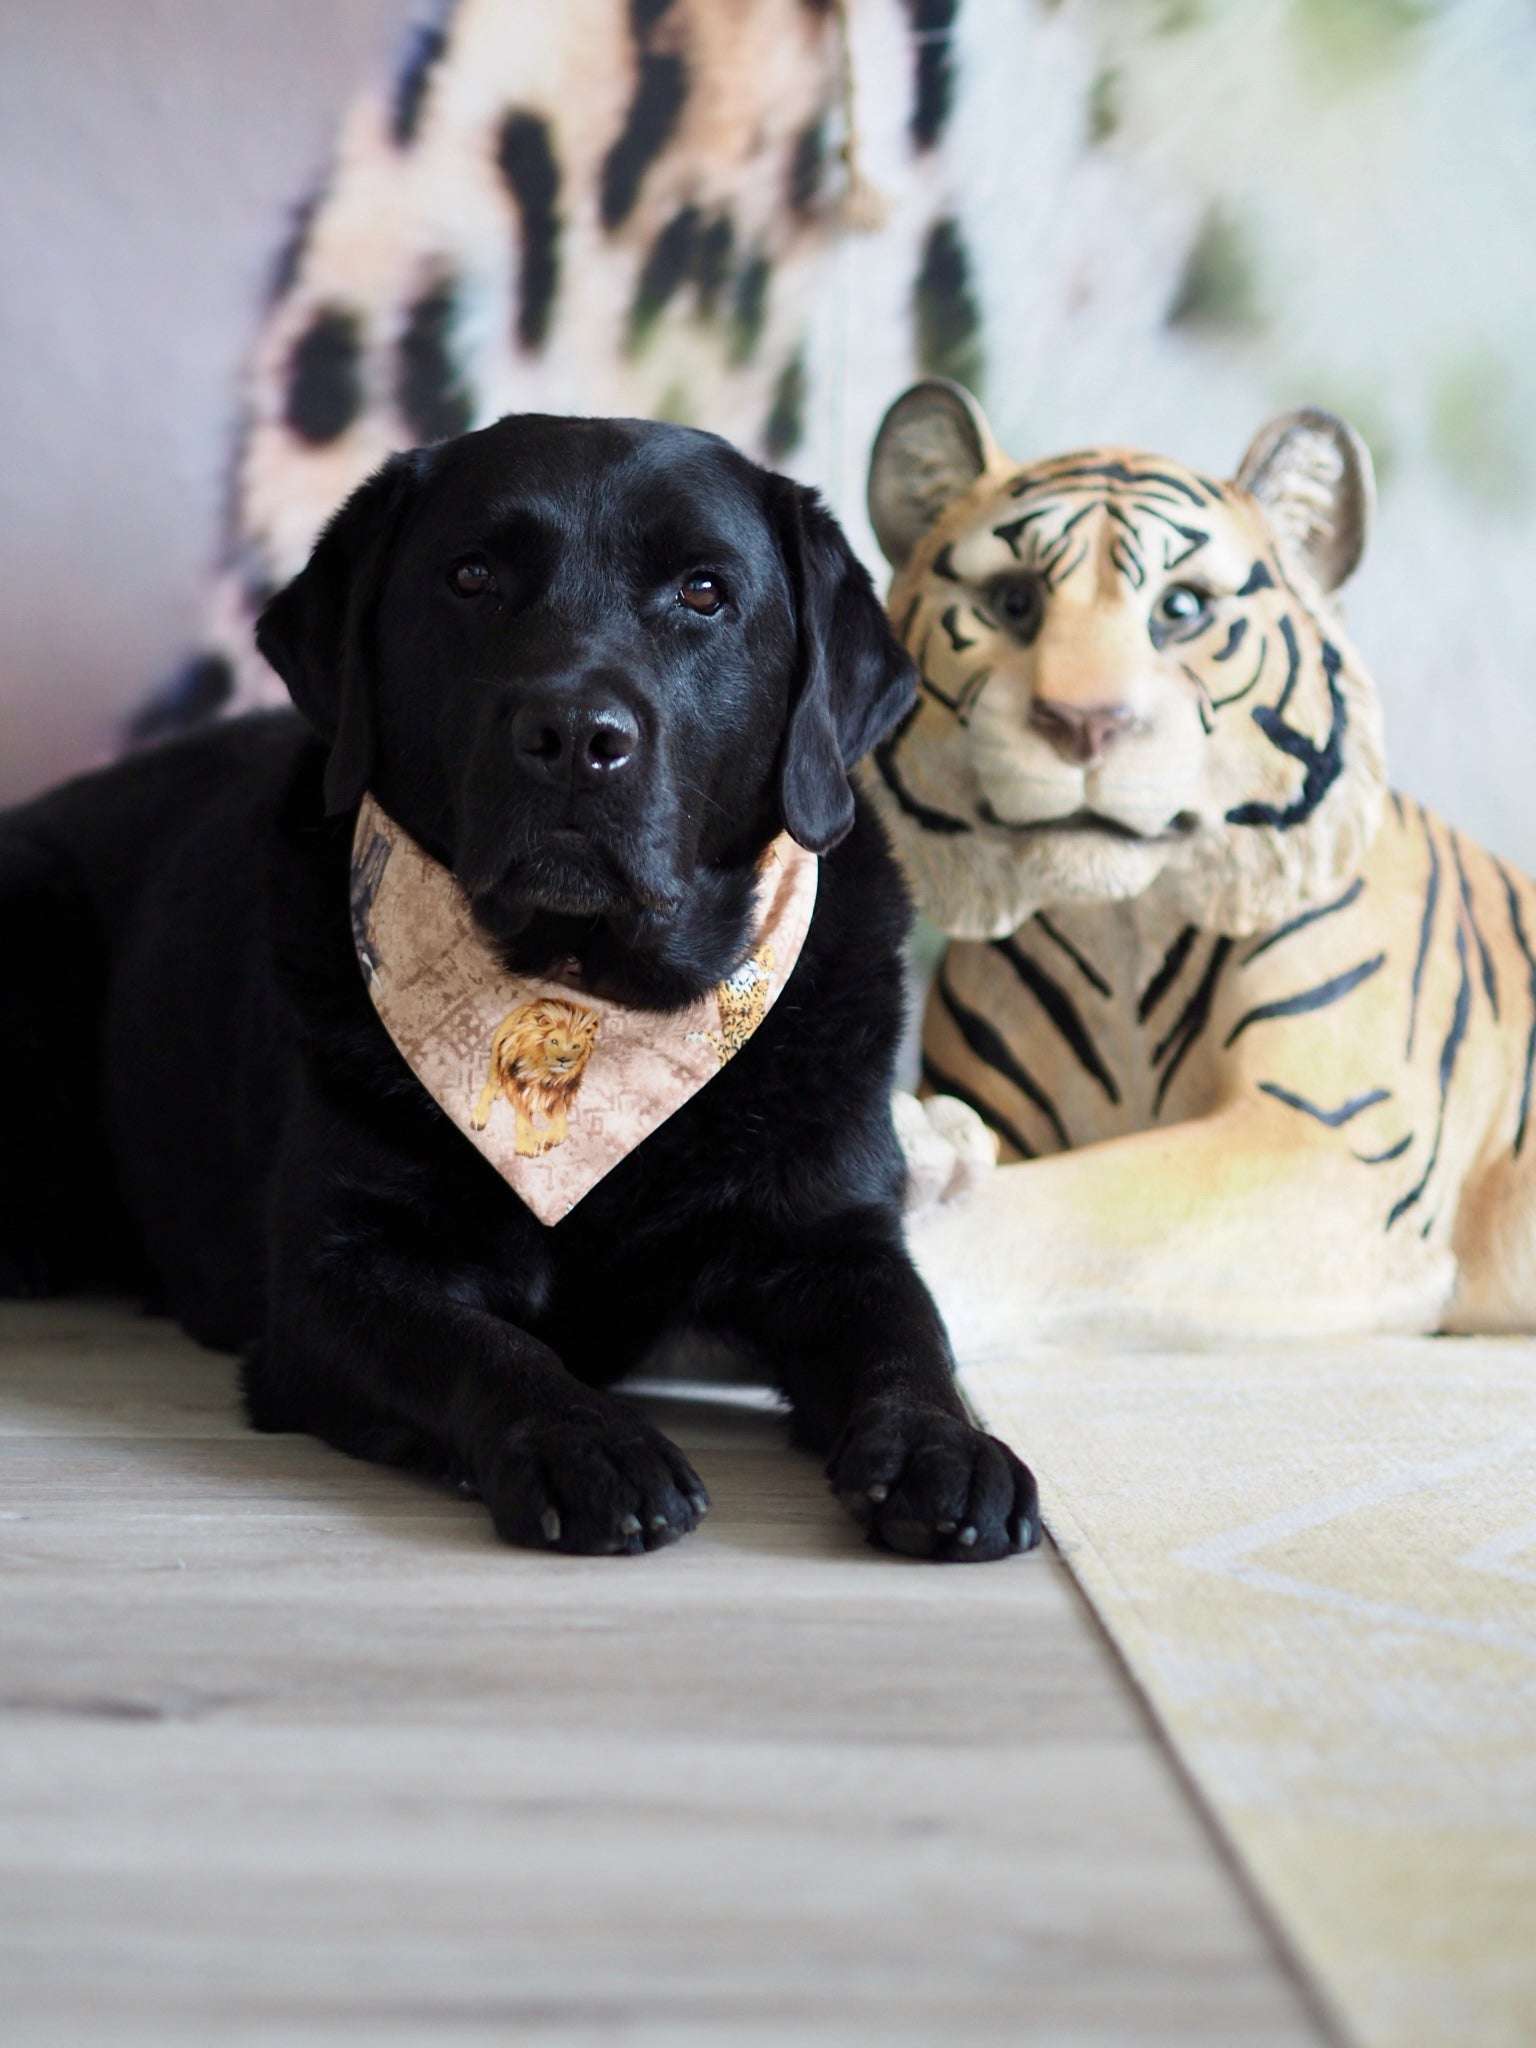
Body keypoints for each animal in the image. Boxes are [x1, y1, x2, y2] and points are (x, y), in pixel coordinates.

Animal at [469, 997, 601, 1158]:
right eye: (554, 1041)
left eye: (576, 1046)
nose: (563, 1060)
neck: (545, 1074)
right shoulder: (518, 1086)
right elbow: (524, 1117)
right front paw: (527, 1145)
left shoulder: (559, 1094)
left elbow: (560, 1119)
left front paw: (550, 1138)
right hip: (497, 1053)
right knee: (491, 1085)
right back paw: (480, 1116)